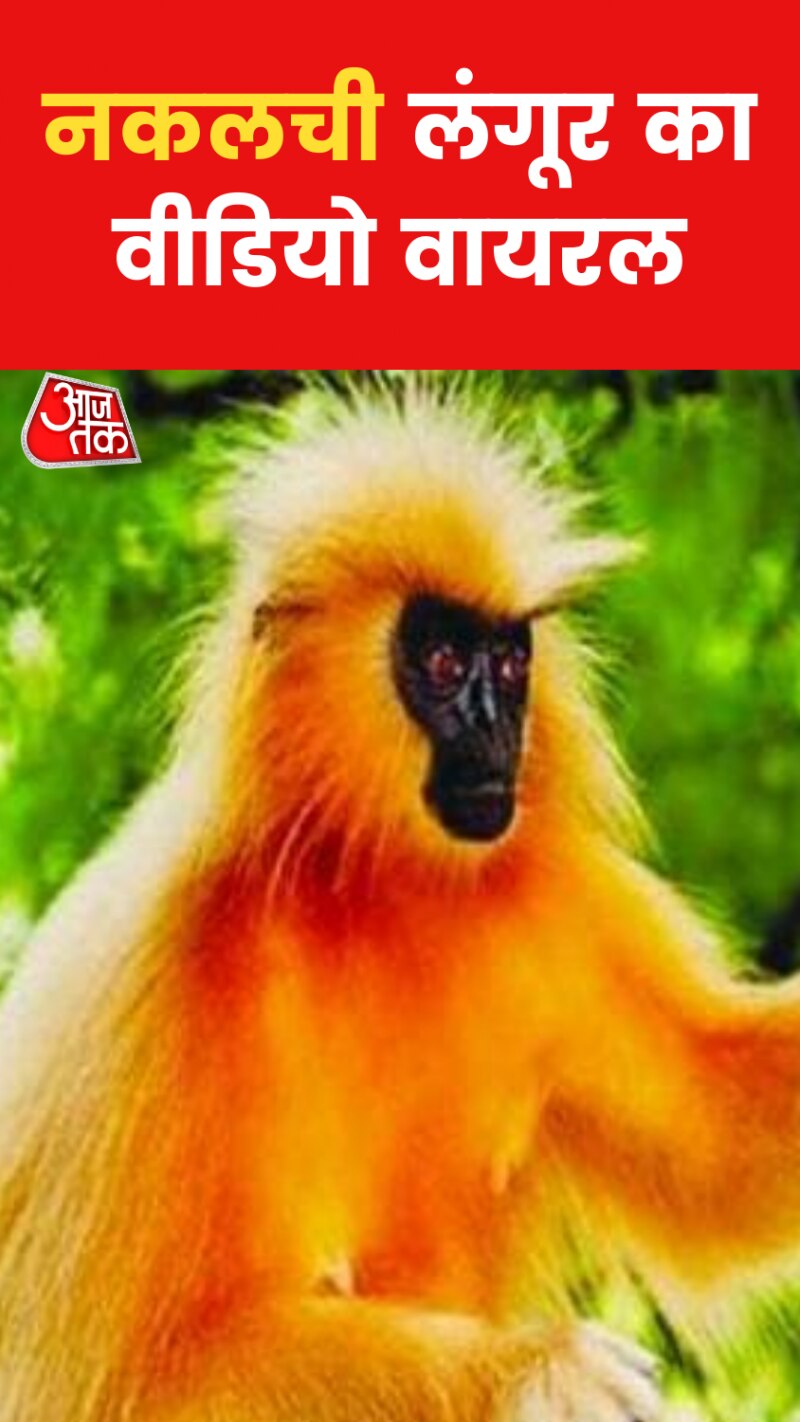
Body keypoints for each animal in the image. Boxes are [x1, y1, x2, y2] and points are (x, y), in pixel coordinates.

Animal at [1, 381, 799, 1422]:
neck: (372, 882)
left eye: (509, 664)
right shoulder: (172, 962)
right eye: (444, 666)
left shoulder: (554, 896)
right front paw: (538, 1369)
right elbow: (128, 1381)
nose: (499, 733)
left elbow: (716, 1145)